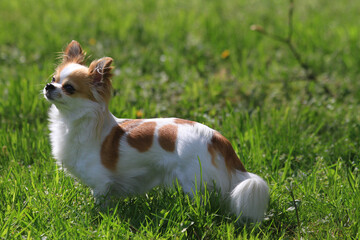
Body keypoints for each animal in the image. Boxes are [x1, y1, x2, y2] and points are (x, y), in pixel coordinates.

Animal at [43, 40, 268, 222]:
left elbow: (100, 204)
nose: (48, 86)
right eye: (53, 78)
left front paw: (99, 218)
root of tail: (216, 137)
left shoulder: (100, 184)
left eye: (69, 88)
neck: (69, 122)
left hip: (193, 180)